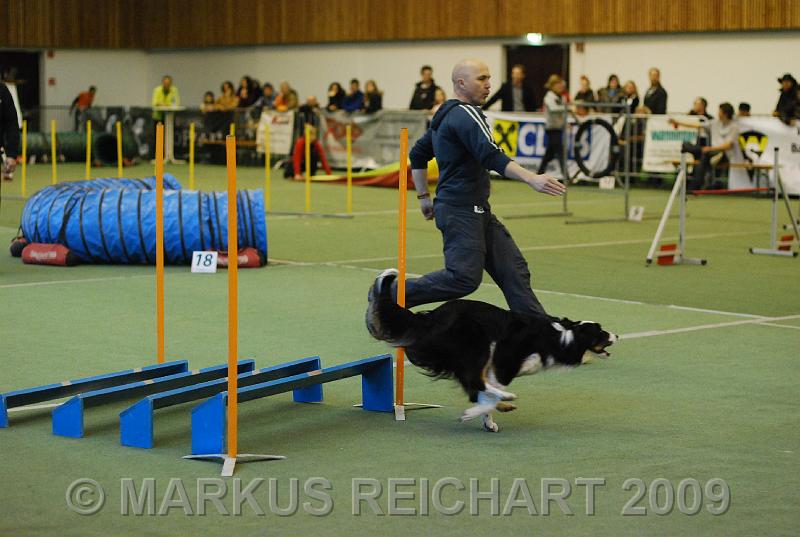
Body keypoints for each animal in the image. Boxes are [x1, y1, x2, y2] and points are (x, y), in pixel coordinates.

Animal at [366, 268, 617, 432]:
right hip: (477, 346)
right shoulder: (505, 362)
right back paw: (506, 399)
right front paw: (480, 413)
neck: (562, 337)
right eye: (601, 332)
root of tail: (432, 317)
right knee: (475, 381)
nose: (616, 335)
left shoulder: (496, 367)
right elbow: (485, 392)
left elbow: (482, 393)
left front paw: (488, 418)